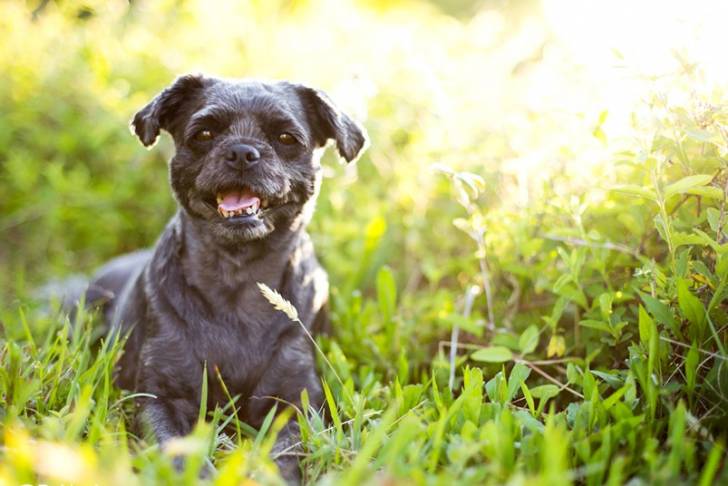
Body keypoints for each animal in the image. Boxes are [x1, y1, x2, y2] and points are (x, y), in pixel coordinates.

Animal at [81, 76, 364, 482]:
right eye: (204, 133)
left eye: (285, 137)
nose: (243, 152)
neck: (237, 276)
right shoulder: (160, 396)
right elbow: (176, 451)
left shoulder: (295, 402)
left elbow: (286, 454)